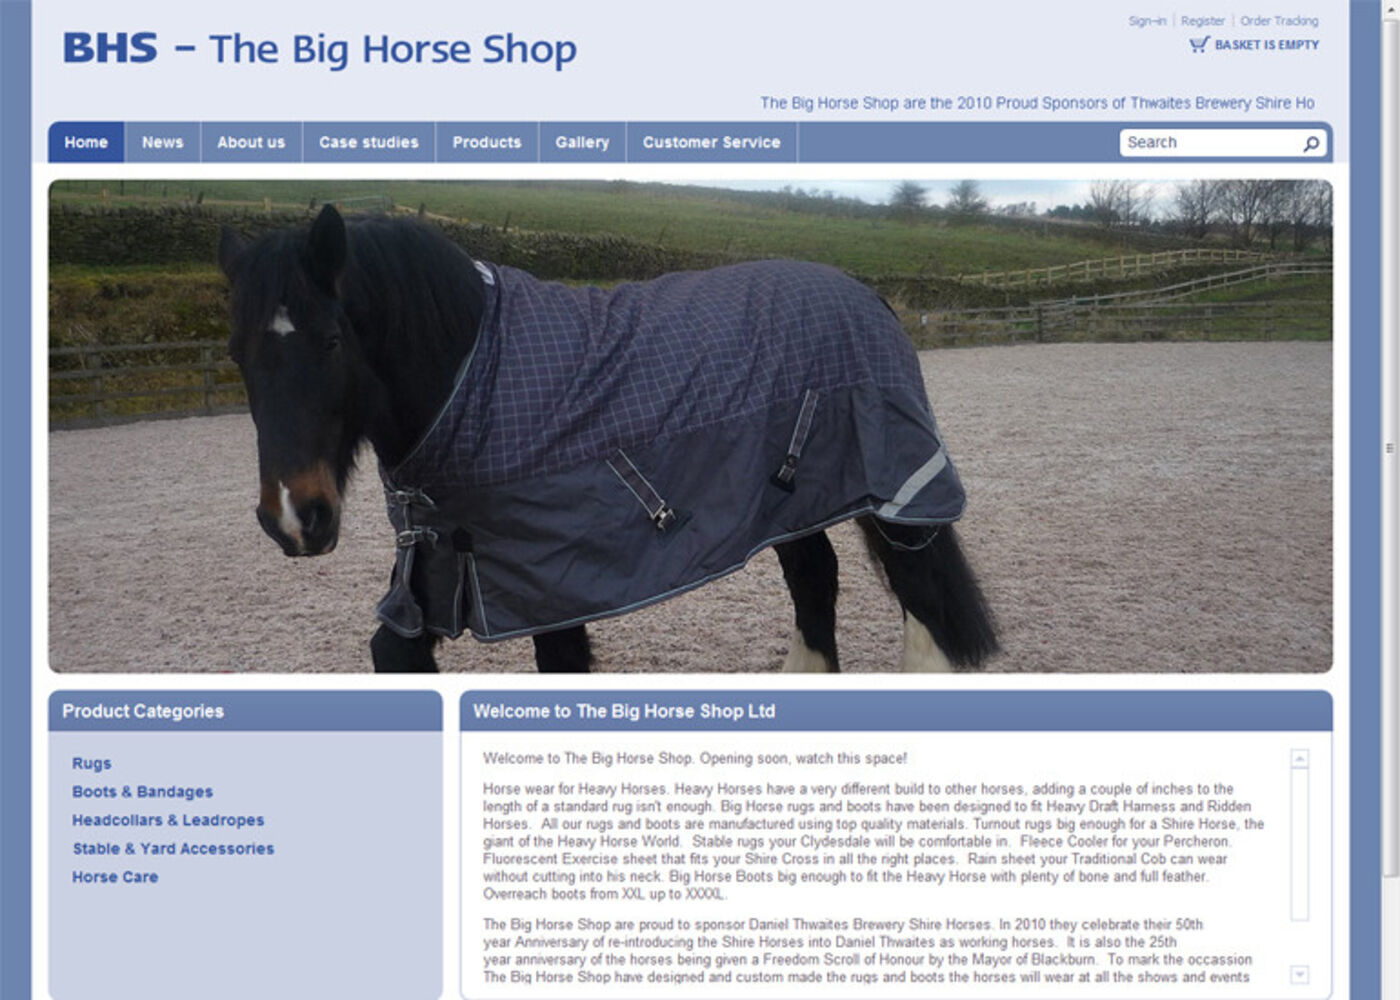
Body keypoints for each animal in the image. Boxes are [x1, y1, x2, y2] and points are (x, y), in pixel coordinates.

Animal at [218, 204, 998, 673]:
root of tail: (865, 293)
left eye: (330, 342)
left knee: (923, 598)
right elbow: (393, 649)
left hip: (895, 490)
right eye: (236, 356)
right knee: (815, 580)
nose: (293, 517)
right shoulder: (436, 569)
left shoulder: (549, 586)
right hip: (790, 501)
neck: (474, 371)